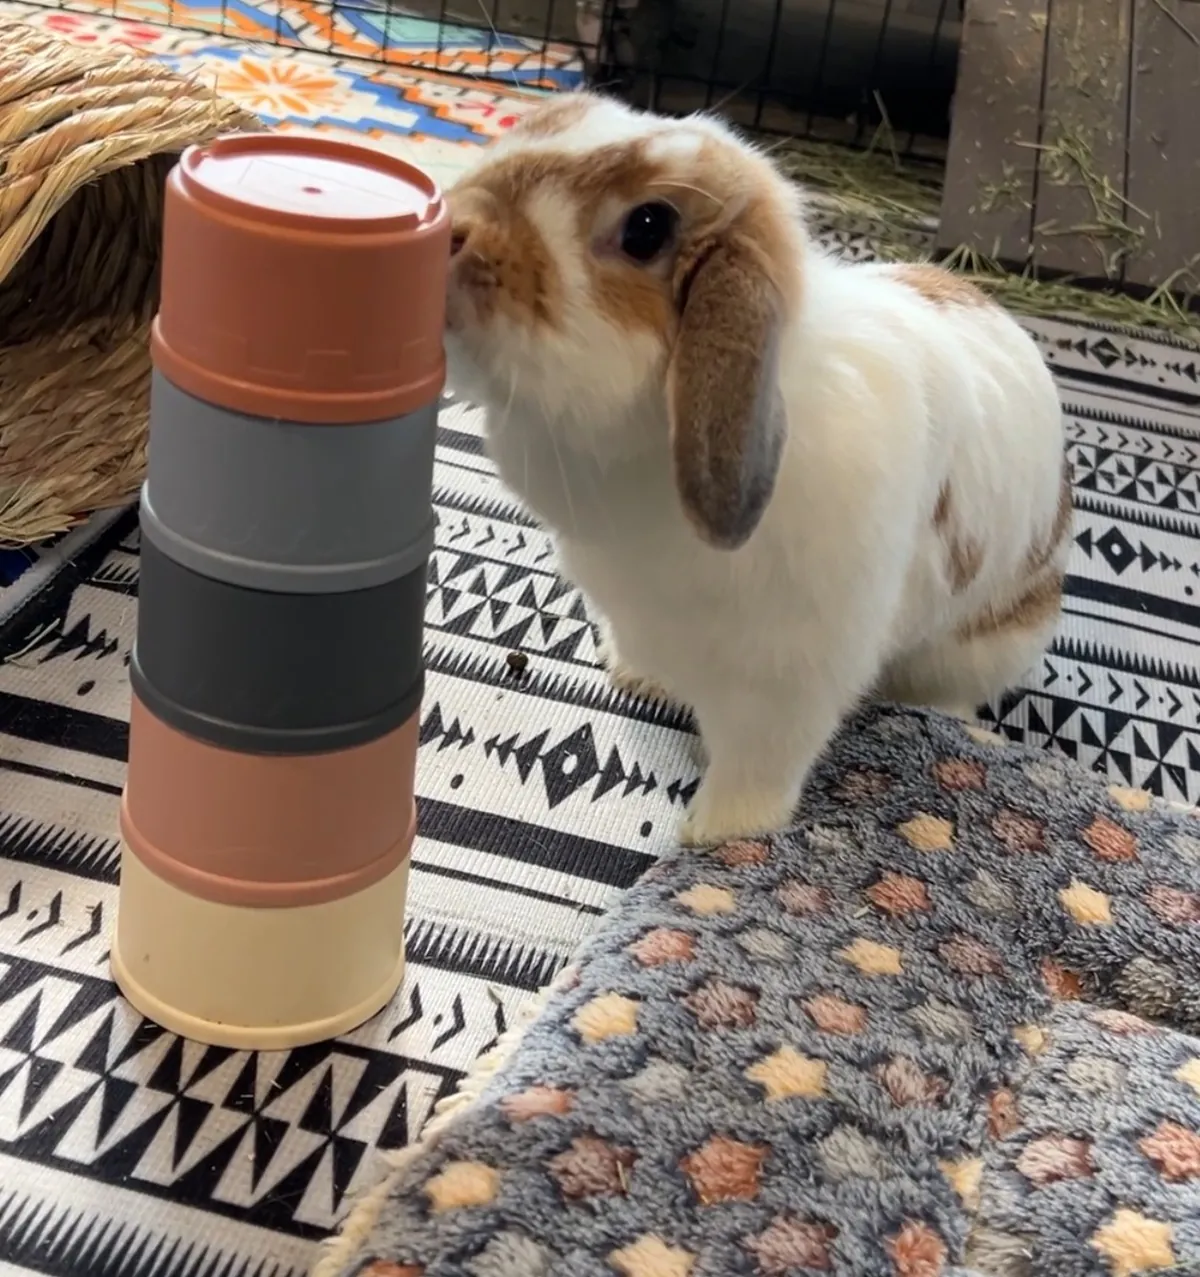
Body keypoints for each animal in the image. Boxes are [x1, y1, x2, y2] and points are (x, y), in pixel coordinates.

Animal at [444, 91, 1070, 848]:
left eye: (647, 228)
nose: (453, 225)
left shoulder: (786, 686)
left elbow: (756, 770)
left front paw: (713, 837)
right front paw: (636, 679)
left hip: (980, 644)